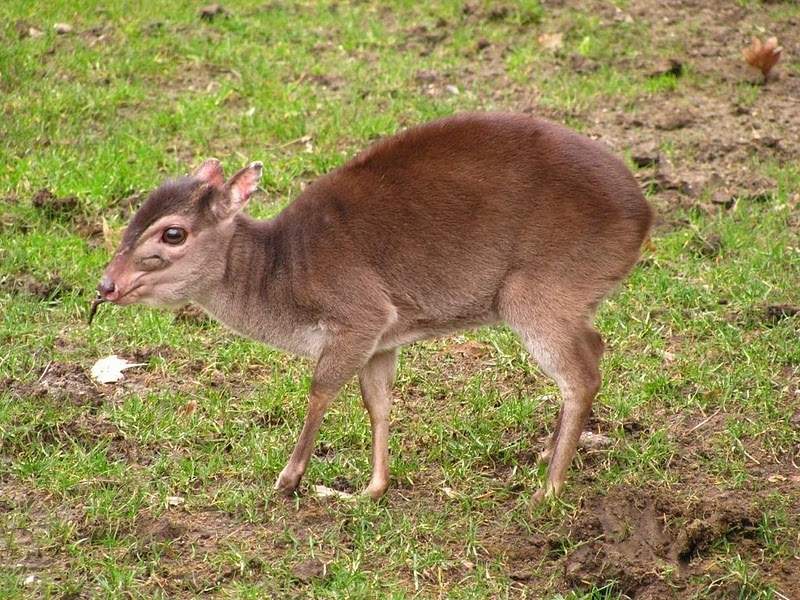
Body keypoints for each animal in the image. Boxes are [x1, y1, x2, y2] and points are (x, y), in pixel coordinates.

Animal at [97, 112, 652, 502]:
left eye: (172, 233)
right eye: (136, 214)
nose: (105, 286)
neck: (283, 274)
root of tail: (645, 217)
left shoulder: (359, 313)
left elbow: (320, 389)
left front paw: (289, 478)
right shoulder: (385, 336)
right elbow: (378, 402)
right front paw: (371, 487)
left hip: (536, 289)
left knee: (581, 374)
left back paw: (548, 491)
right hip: (570, 295)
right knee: (596, 345)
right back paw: (543, 456)